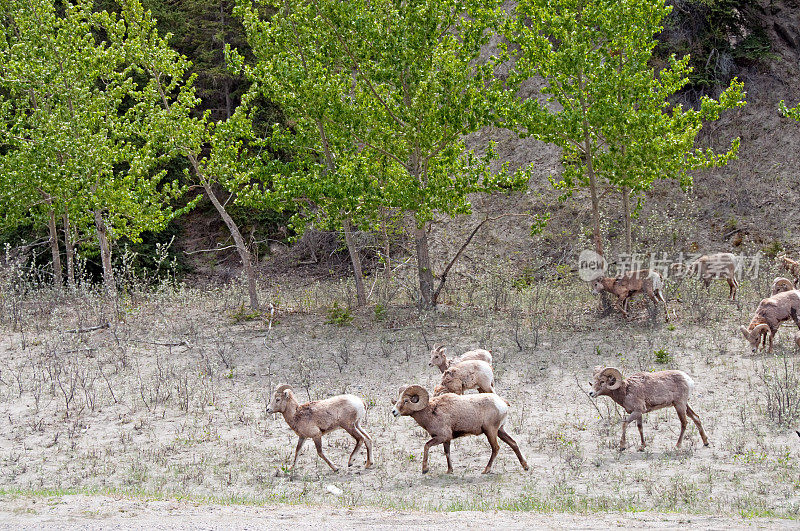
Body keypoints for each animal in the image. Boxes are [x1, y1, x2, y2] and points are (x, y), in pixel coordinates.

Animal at [390, 384, 528, 476]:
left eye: (406, 400)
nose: (394, 412)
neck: (431, 412)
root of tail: (502, 403)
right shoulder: (446, 440)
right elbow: (447, 453)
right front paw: (449, 471)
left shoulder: (442, 437)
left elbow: (426, 446)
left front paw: (425, 470)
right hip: (500, 431)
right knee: (513, 443)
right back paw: (525, 466)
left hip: (491, 432)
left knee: (496, 448)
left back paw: (486, 470)